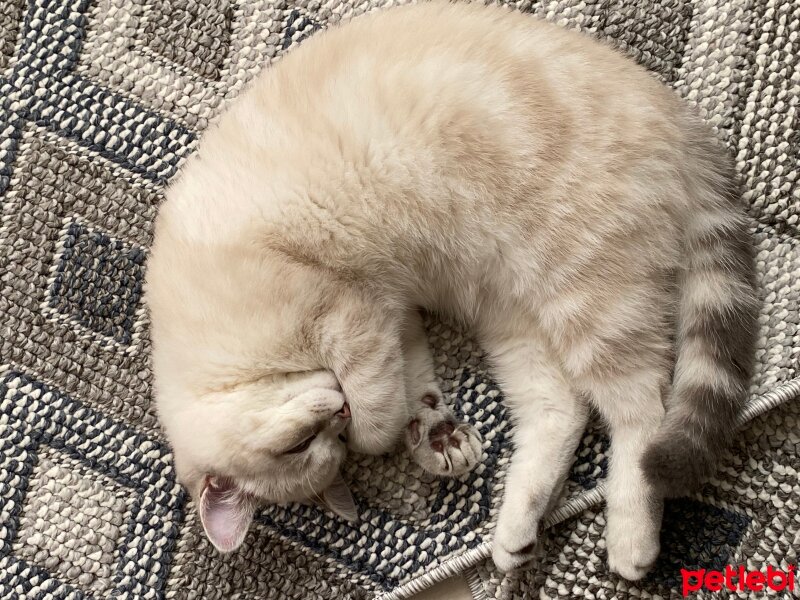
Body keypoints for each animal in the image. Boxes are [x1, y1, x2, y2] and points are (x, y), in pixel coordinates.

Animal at [144, 1, 756, 580]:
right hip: (512, 316)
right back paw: (516, 533)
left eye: (308, 445)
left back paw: (630, 539)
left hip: (588, 300)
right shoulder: (395, 316)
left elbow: (377, 411)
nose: (337, 414)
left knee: (642, 415)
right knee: (562, 408)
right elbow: (412, 378)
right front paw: (433, 435)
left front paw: (383, 428)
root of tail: (677, 117)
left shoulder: (348, 312)